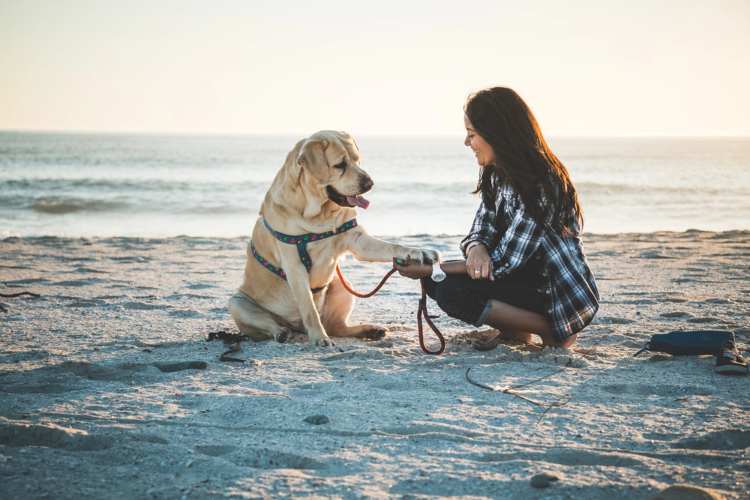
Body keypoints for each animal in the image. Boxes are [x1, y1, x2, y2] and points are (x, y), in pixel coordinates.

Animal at [229, 131, 440, 346]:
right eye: (340, 165)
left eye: (357, 160)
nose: (370, 183)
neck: (319, 215)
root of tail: (296, 327)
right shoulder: (294, 266)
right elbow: (309, 309)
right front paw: (320, 338)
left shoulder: (358, 240)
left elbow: (392, 246)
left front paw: (419, 252)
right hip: (237, 303)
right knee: (271, 324)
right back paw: (281, 332)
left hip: (342, 286)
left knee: (337, 326)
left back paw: (370, 330)